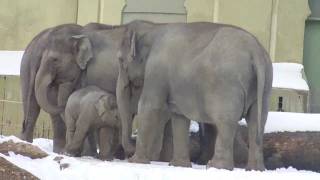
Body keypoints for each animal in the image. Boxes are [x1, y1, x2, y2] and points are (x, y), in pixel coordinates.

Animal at [115, 20, 272, 171]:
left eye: (120, 60)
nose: (128, 152)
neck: (154, 26)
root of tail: (255, 51)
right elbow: (178, 116)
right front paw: (178, 165)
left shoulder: (156, 71)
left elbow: (149, 107)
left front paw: (136, 162)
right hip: (265, 86)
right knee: (256, 122)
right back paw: (255, 170)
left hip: (227, 87)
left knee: (225, 122)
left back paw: (215, 166)